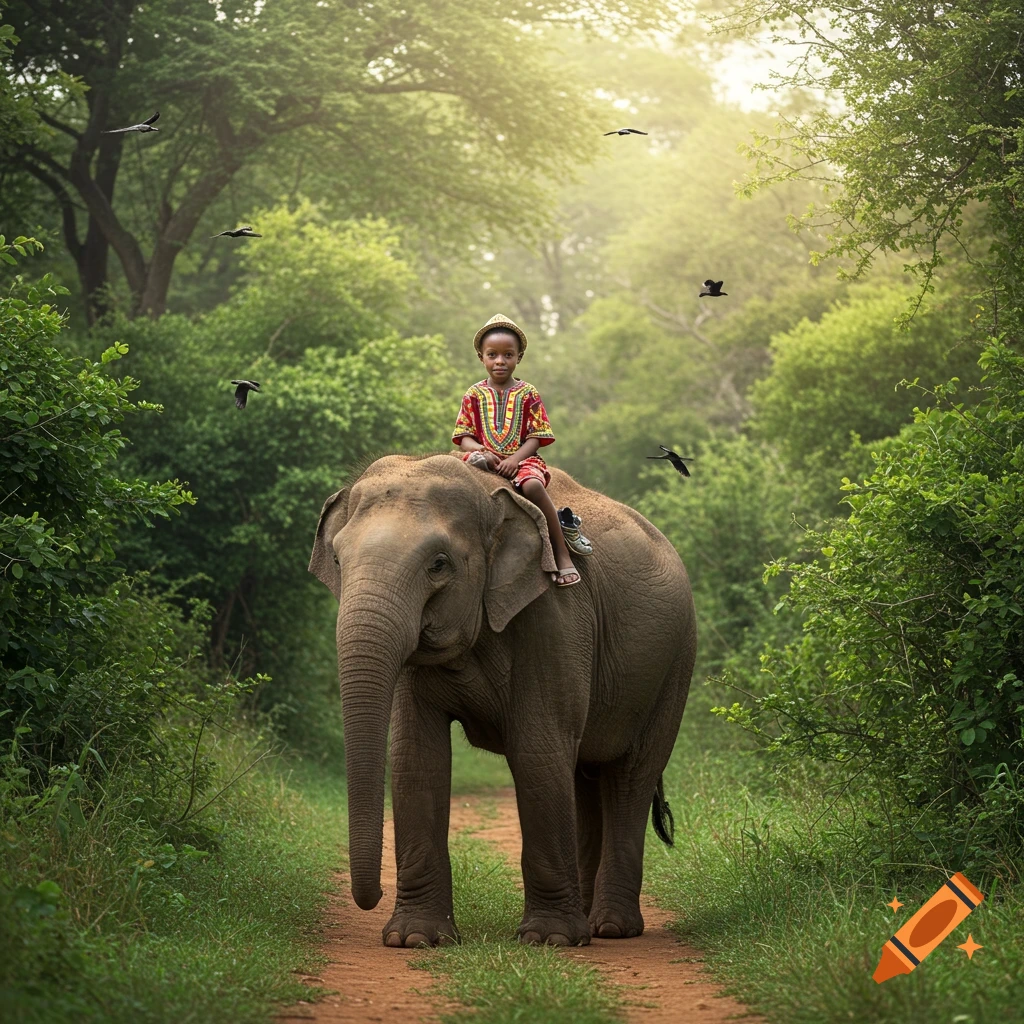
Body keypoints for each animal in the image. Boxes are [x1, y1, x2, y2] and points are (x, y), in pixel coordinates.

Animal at [308, 452, 697, 948]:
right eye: (338, 559)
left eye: (439, 564)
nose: (368, 898)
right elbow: (417, 755)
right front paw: (417, 939)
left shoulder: (555, 615)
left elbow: (536, 750)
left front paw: (549, 940)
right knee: (586, 776)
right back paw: (590, 922)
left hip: (675, 664)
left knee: (630, 776)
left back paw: (611, 929)